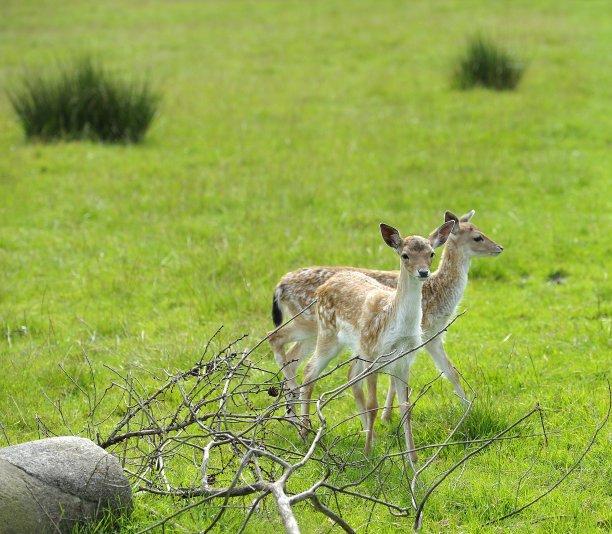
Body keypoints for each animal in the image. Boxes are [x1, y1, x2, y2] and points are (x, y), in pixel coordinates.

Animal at [268, 211, 502, 434]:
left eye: (431, 254)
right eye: (477, 237)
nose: (499, 247)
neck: (437, 292)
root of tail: (280, 285)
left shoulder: (430, 336)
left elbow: (450, 371)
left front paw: (469, 409)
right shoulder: (419, 335)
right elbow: (393, 378)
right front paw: (387, 417)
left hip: (315, 332)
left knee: (293, 357)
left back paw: (292, 415)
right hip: (309, 323)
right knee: (277, 340)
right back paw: (295, 416)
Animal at [298, 220, 456, 462]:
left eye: (431, 253)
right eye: (405, 255)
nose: (423, 272)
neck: (396, 326)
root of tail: (325, 285)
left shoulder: (404, 361)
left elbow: (406, 406)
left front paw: (412, 458)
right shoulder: (373, 354)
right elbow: (374, 405)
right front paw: (366, 454)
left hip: (356, 347)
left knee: (350, 375)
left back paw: (368, 434)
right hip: (329, 334)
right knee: (309, 370)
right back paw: (305, 434)